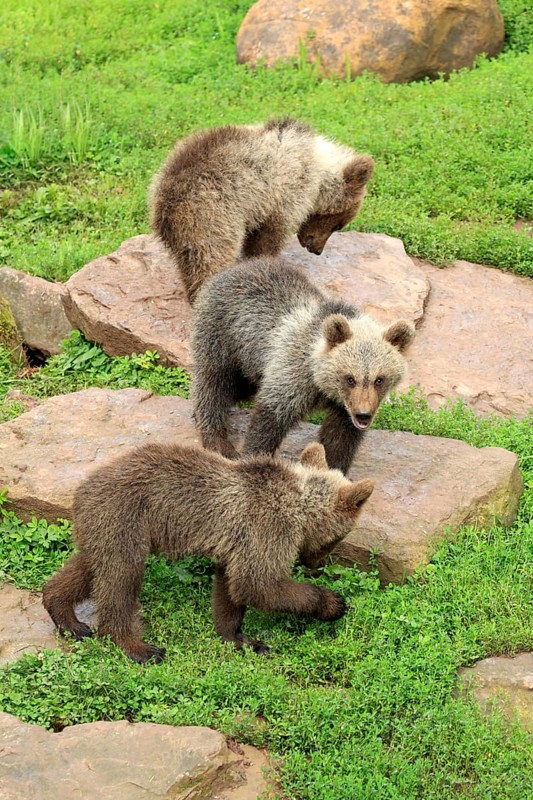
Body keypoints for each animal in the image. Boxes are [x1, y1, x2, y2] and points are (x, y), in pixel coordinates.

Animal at [42, 441, 374, 663]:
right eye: (338, 538)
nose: (315, 563)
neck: (297, 505)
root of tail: (81, 489)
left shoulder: (239, 545)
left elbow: (231, 589)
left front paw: (241, 638)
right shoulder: (267, 528)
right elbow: (259, 584)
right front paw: (333, 603)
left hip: (104, 527)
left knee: (89, 568)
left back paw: (69, 619)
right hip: (126, 518)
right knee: (120, 581)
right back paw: (139, 648)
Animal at [149, 118, 374, 302]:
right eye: (338, 224)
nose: (317, 250)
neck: (317, 172)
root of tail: (164, 203)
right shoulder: (282, 195)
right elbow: (269, 238)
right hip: (211, 216)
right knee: (209, 259)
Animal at [191, 257, 415, 474]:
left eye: (379, 379)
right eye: (350, 378)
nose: (363, 414)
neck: (320, 380)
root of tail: (237, 267)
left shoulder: (343, 407)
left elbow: (339, 439)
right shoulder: (293, 371)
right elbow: (270, 418)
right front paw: (252, 456)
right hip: (222, 333)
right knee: (213, 383)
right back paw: (217, 440)